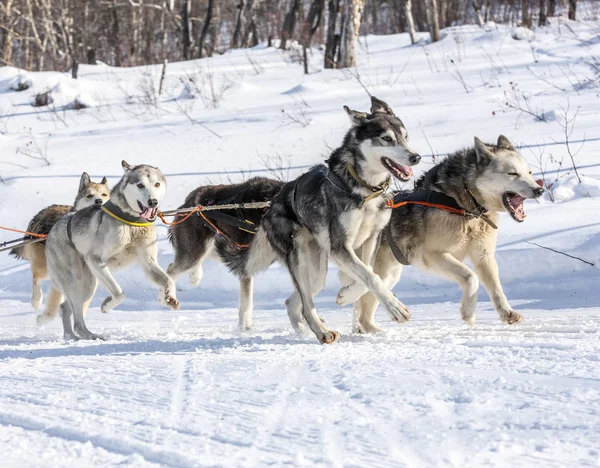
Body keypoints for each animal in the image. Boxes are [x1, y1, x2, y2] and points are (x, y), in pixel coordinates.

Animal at [9, 173, 110, 326]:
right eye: (90, 195)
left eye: (104, 195)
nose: (99, 201)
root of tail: (41, 213)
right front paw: (43, 319)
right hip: (44, 267)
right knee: (36, 278)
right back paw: (36, 300)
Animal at [46, 162, 179, 340]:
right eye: (140, 185)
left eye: (157, 184)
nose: (153, 202)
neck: (131, 223)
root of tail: (54, 227)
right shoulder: (96, 260)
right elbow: (119, 293)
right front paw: (107, 305)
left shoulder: (149, 264)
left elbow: (169, 280)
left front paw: (166, 298)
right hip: (80, 281)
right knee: (77, 321)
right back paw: (90, 336)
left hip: (89, 285)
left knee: (65, 308)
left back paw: (72, 337)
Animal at [166, 176, 284, 330]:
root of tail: (186, 204)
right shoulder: (246, 261)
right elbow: (246, 302)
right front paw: (245, 327)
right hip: (195, 252)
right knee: (171, 271)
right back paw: (168, 296)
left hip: (212, 245)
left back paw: (195, 276)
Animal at [220, 96, 422, 344]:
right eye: (386, 138)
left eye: (405, 136)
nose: (415, 157)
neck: (364, 190)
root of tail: (271, 207)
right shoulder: (340, 248)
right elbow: (371, 276)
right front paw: (395, 308)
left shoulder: (370, 239)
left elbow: (367, 275)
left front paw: (347, 295)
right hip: (298, 259)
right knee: (307, 305)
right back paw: (321, 331)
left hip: (316, 273)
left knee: (293, 302)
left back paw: (304, 329)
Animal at [342, 135, 544, 332]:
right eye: (512, 173)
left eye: (529, 173)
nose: (539, 190)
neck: (461, 203)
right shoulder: (433, 255)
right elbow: (471, 278)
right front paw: (468, 312)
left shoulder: (483, 255)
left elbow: (496, 289)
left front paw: (507, 312)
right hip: (382, 272)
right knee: (364, 304)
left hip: (390, 275)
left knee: (364, 312)